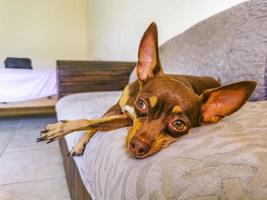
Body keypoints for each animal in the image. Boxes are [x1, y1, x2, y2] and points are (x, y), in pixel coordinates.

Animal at [36, 22, 256, 159]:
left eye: (179, 124)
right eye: (141, 104)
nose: (138, 147)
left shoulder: (123, 119)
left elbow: (94, 123)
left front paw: (62, 129)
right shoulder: (118, 110)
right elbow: (91, 123)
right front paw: (69, 135)